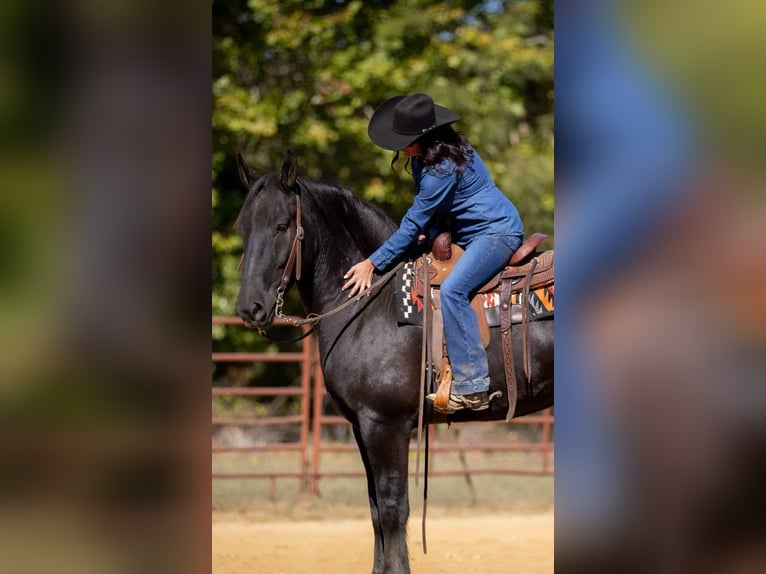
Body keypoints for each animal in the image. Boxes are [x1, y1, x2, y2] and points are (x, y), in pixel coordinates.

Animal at [234, 151, 552, 572]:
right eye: (243, 227)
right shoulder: (362, 427)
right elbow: (374, 513)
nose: (250, 307)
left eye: (281, 226)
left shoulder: (385, 426)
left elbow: (391, 511)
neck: (372, 303)